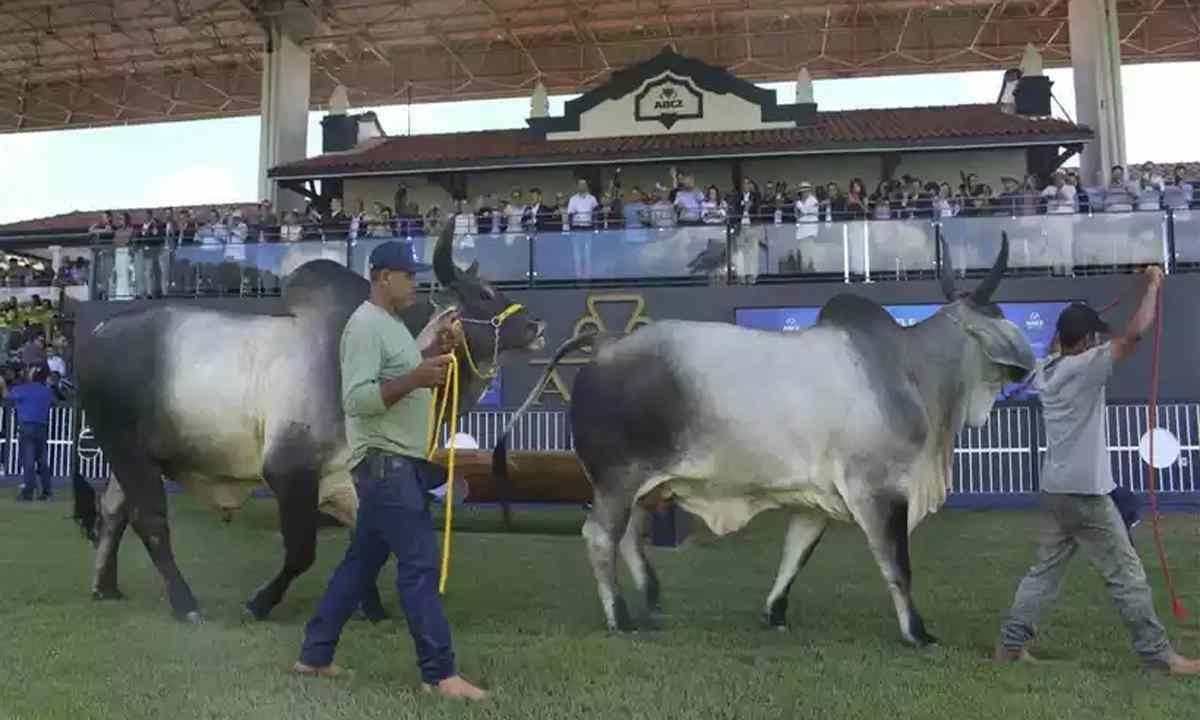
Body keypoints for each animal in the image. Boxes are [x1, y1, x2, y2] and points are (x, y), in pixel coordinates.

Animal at [75, 228, 544, 619]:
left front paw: (371, 608)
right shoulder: (289, 470)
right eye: (483, 293)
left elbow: (367, 547)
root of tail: (97, 332)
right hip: (127, 450)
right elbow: (302, 553)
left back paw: (105, 587)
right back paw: (184, 603)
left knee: (114, 509)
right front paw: (259, 603)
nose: (536, 325)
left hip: (134, 457)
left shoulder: (351, 479)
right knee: (150, 520)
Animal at [494, 235, 1032, 648]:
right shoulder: (878, 491)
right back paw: (620, 617)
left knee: (628, 536)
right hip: (617, 480)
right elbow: (897, 566)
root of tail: (605, 344)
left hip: (641, 486)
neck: (912, 370)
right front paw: (917, 633)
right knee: (600, 536)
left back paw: (652, 601)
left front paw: (774, 614)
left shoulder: (816, 501)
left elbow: (795, 556)